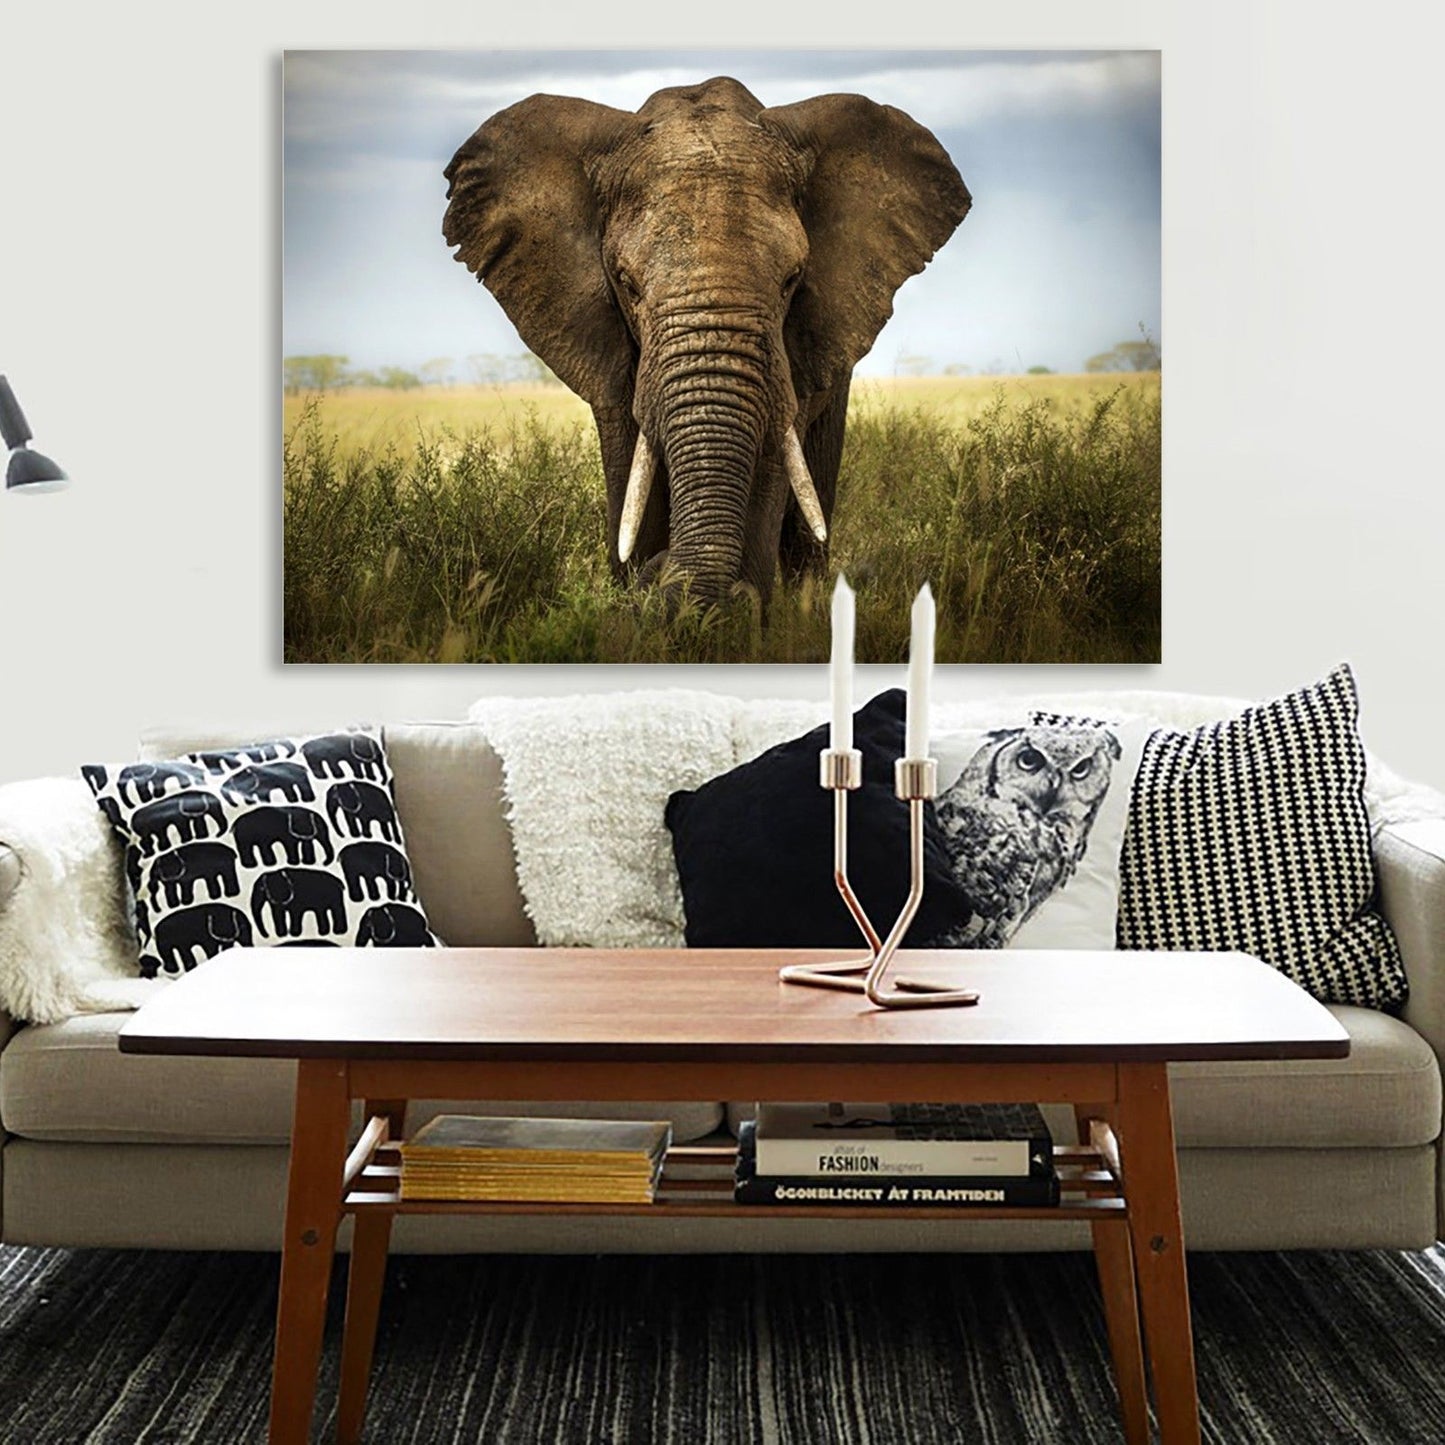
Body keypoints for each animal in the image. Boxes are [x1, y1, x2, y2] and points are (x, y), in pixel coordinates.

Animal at [444, 76, 970, 604]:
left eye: (792, 280)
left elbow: (771, 464)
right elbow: (630, 473)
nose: (662, 572)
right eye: (627, 284)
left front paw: (736, 612)